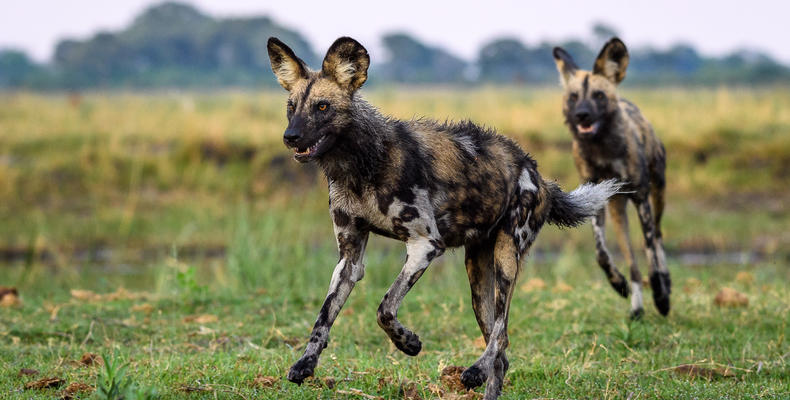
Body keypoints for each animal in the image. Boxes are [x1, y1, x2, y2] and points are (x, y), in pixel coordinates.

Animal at [272, 36, 624, 398]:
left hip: (506, 258)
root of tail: (538, 174)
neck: (360, 163)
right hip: (476, 275)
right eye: (291, 107)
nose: (290, 136)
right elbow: (324, 316)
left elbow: (385, 309)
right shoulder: (349, 259)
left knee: (501, 331)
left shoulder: (425, 244)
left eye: (322, 107)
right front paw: (305, 363)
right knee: (501, 349)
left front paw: (408, 343)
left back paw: (473, 371)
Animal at [552, 37, 672, 318]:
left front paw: (660, 293)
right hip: (618, 213)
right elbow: (602, 255)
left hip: (657, 194)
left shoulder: (642, 199)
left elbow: (650, 249)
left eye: (598, 95)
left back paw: (664, 286)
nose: (582, 115)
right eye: (574, 97)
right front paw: (618, 283)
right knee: (633, 263)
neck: (602, 150)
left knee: (657, 236)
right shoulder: (595, 199)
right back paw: (636, 306)